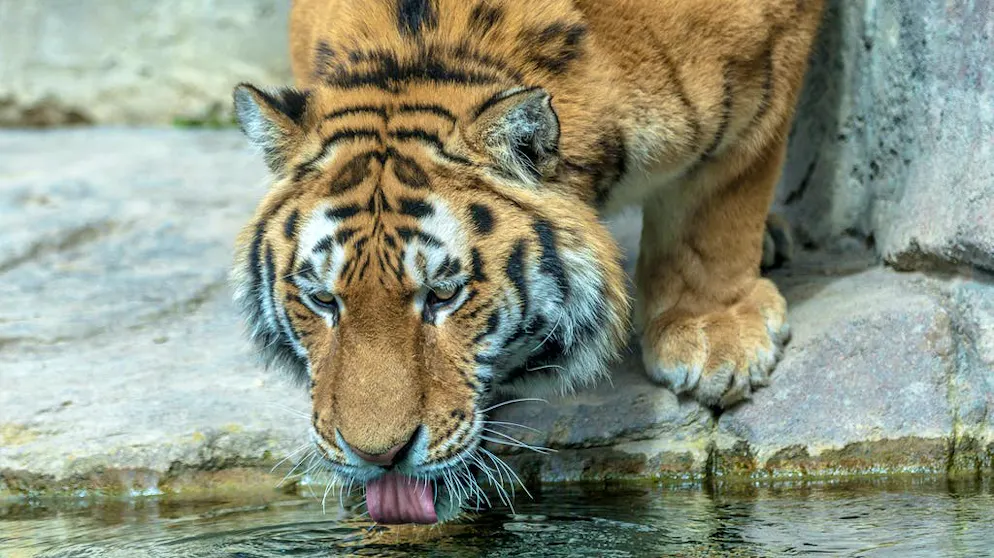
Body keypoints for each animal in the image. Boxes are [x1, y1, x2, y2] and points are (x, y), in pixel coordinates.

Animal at [231, 0, 825, 524]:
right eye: (323, 300)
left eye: (443, 296)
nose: (378, 457)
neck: (423, 50)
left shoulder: (766, 65)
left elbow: (718, 207)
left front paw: (714, 337)